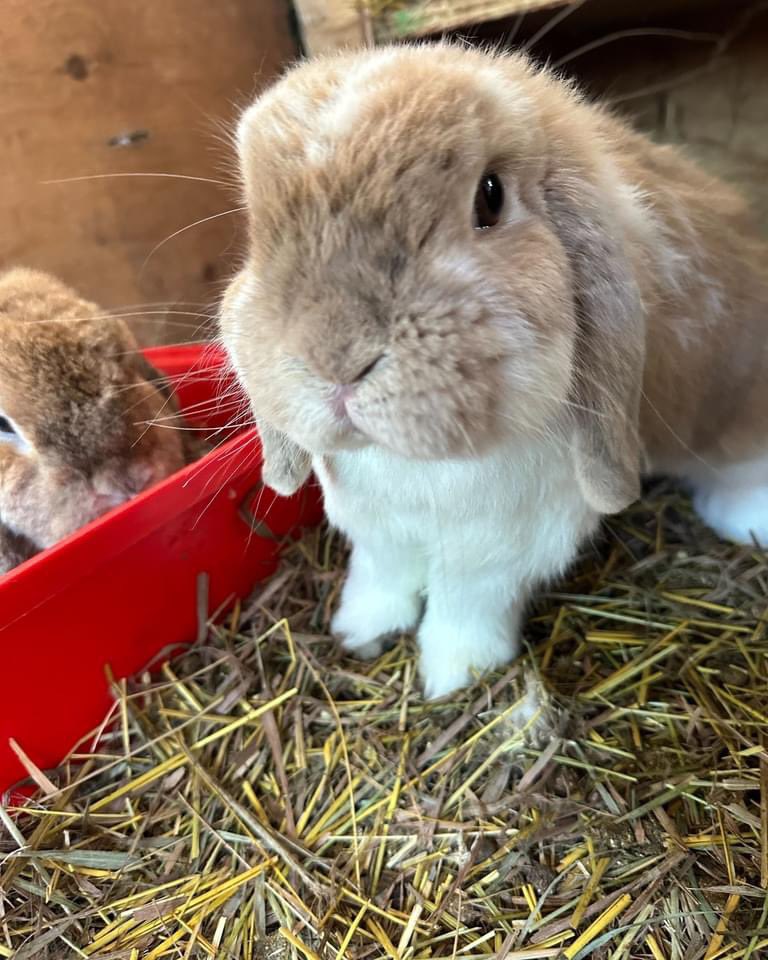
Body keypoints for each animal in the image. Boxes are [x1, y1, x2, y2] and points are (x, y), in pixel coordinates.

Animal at [218, 41, 768, 696]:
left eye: (490, 196)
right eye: (256, 228)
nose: (334, 357)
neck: (416, 464)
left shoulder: (497, 551)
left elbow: (466, 607)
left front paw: (453, 676)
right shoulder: (379, 530)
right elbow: (381, 577)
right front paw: (358, 631)